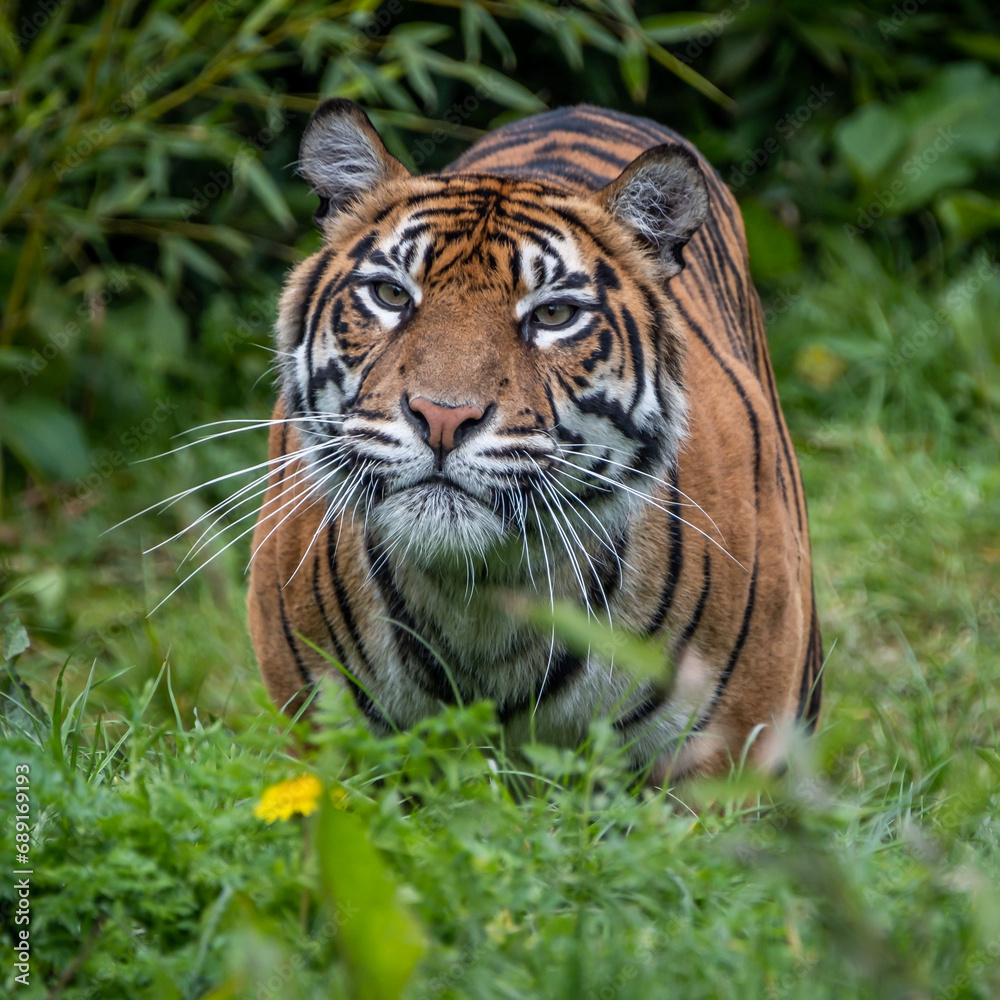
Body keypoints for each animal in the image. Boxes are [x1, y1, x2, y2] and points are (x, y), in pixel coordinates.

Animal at [247, 99, 822, 784]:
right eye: (390, 295)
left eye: (553, 315)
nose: (442, 417)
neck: (479, 598)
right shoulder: (319, 738)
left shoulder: (729, 756)